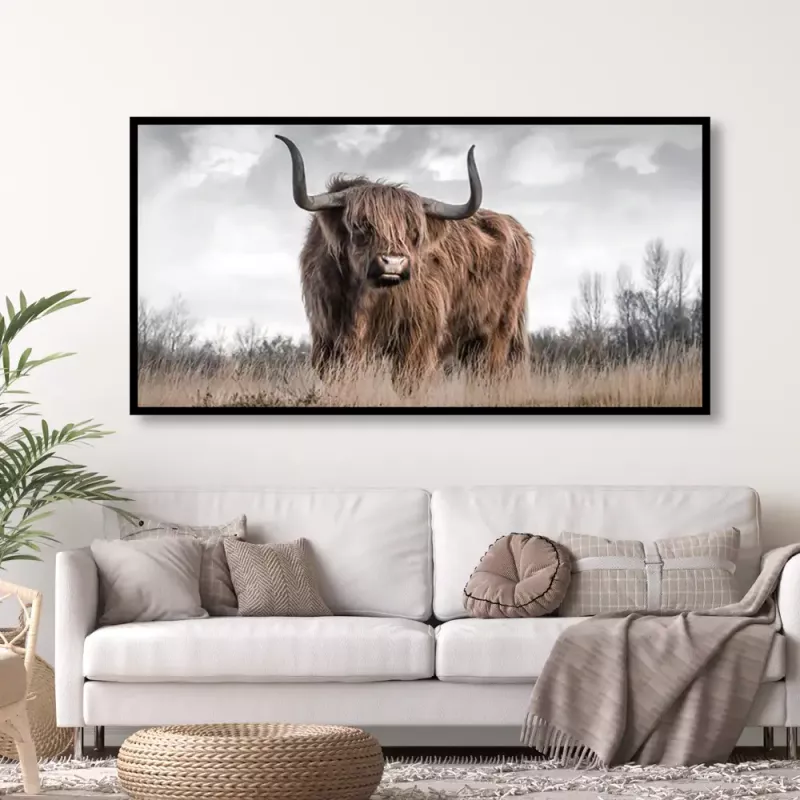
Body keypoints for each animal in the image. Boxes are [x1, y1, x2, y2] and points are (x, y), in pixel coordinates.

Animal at [276, 134, 533, 384]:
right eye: (361, 227)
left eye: (414, 232)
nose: (393, 262)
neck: (364, 301)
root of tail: (517, 229)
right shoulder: (327, 338)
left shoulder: (417, 339)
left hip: (496, 334)